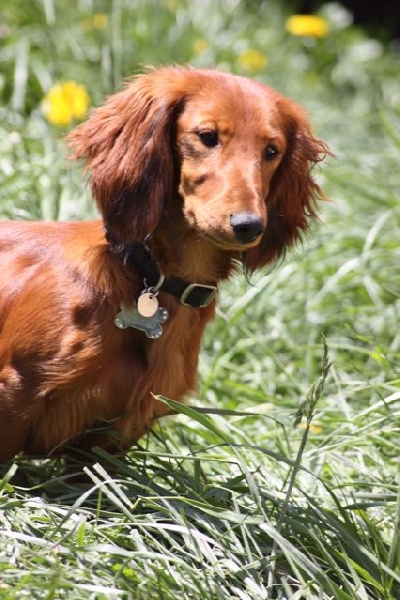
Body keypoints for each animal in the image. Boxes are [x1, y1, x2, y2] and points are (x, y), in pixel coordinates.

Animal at [0, 66, 328, 461]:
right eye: (207, 136)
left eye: (271, 150)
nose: (249, 225)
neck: (149, 274)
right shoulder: (14, 391)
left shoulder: (108, 442)